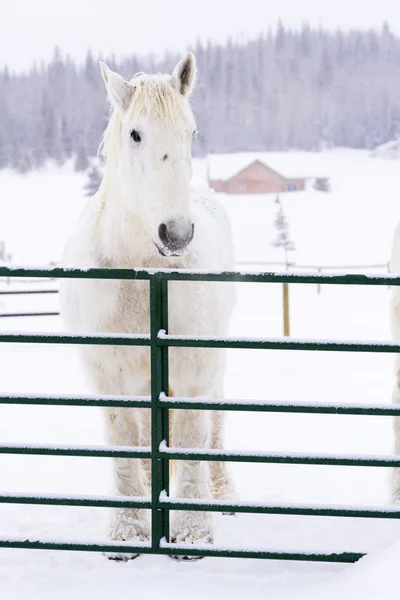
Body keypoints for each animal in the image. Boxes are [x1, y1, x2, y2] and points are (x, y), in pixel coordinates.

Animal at [59, 52, 234, 556]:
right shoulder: (110, 374)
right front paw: (128, 531)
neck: (142, 276)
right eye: (136, 134)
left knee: (215, 424)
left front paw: (193, 531)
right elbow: (127, 440)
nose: (175, 234)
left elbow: (192, 438)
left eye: (191, 132)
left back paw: (222, 495)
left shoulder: (194, 367)